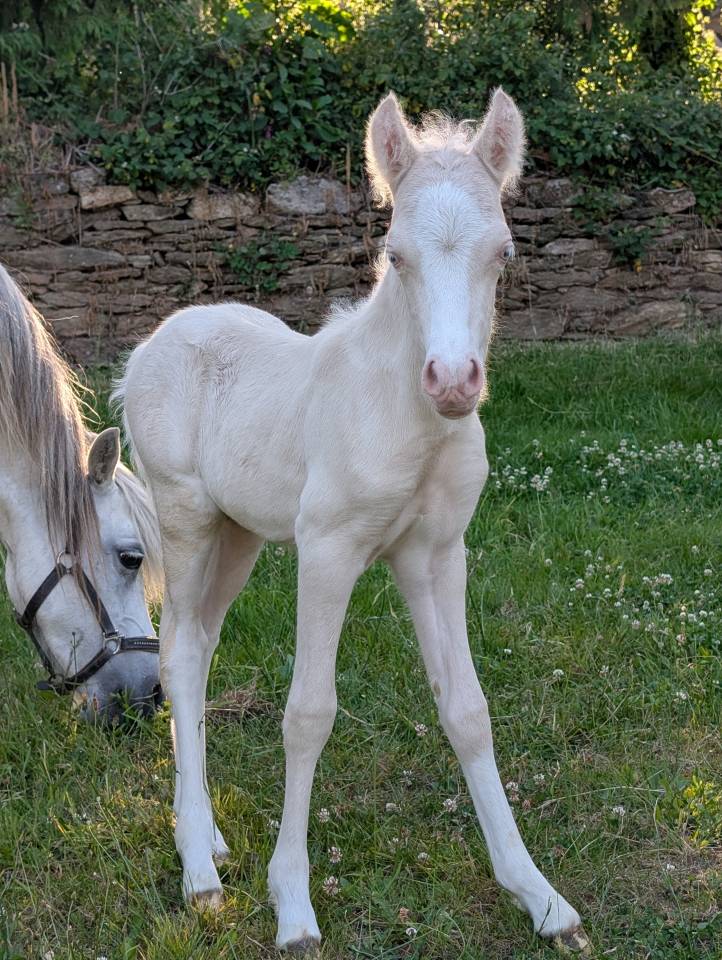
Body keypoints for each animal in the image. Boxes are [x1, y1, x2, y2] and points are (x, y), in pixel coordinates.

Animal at [114, 89, 590, 952]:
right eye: (396, 255)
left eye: (503, 253)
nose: (453, 381)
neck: (408, 419)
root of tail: (146, 351)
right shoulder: (327, 549)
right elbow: (308, 713)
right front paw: (293, 906)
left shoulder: (437, 553)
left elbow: (468, 709)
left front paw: (538, 896)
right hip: (187, 516)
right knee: (178, 656)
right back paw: (198, 867)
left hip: (239, 534)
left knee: (198, 646)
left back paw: (205, 836)